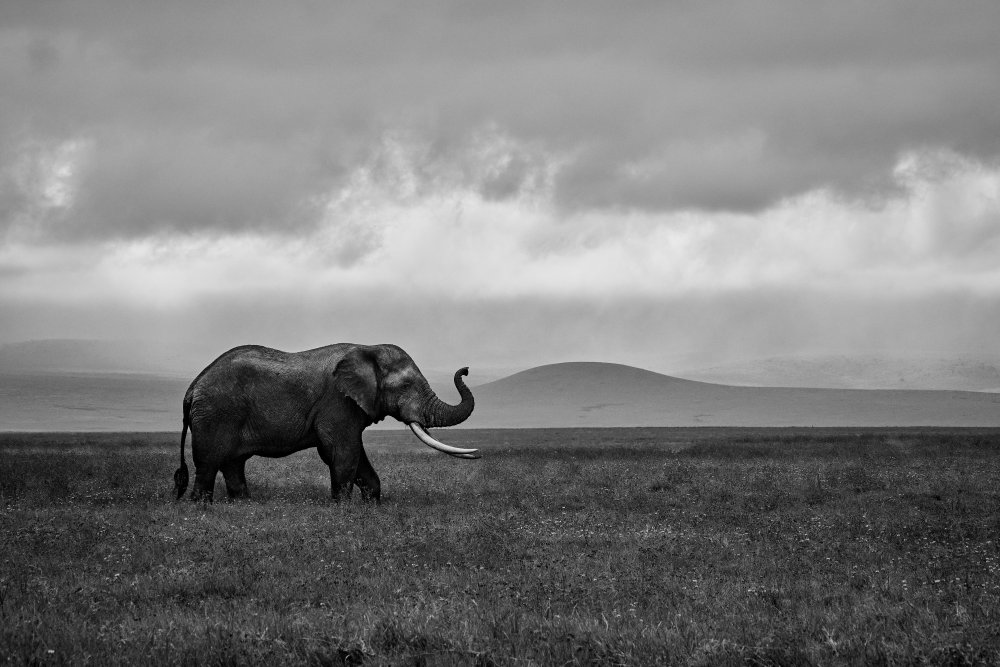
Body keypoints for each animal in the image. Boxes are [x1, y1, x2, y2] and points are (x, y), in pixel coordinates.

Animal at [172, 343, 477, 503]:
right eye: (405, 386)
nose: (465, 369)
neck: (367, 349)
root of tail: (192, 388)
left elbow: (356, 455)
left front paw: (371, 506)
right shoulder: (338, 402)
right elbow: (342, 452)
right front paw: (342, 509)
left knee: (232, 463)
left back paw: (243, 504)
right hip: (216, 413)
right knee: (209, 462)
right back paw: (203, 508)